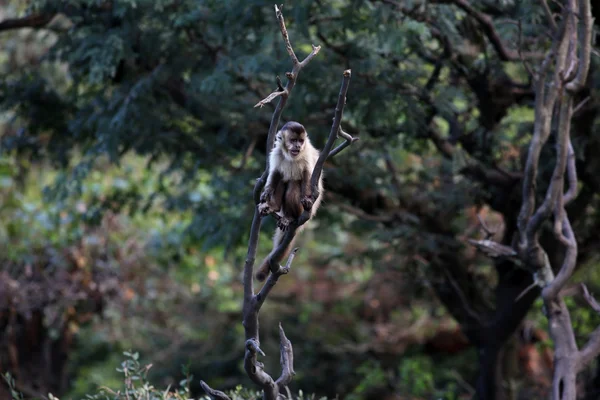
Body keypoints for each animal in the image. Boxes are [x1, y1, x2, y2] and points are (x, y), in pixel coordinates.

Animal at [256, 122, 324, 282]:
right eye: (293, 140)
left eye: (300, 141)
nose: (298, 146)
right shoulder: (276, 153)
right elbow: (275, 173)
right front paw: (266, 193)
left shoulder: (306, 154)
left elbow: (307, 175)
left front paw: (307, 199)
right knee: (282, 176)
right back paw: (273, 207)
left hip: (302, 210)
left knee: (294, 183)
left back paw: (290, 217)